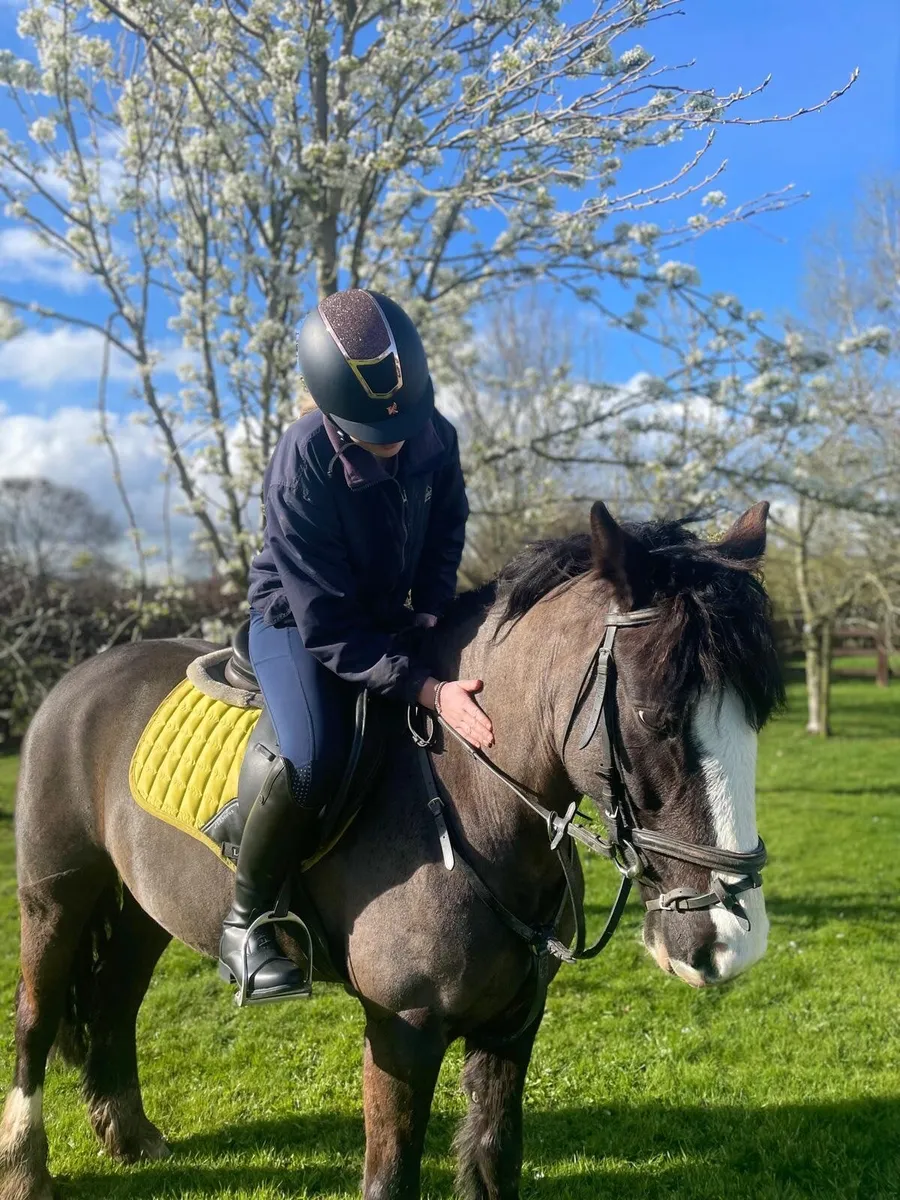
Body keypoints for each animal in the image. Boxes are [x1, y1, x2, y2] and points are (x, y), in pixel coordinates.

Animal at [0, 501, 783, 1200]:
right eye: (653, 717)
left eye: (757, 716)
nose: (728, 943)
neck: (469, 807)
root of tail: (78, 680)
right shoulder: (402, 1029)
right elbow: (390, 1178)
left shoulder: (514, 1021)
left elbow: (495, 1162)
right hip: (54, 896)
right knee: (36, 1019)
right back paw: (25, 1170)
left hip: (141, 911)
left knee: (113, 1004)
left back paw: (129, 1136)